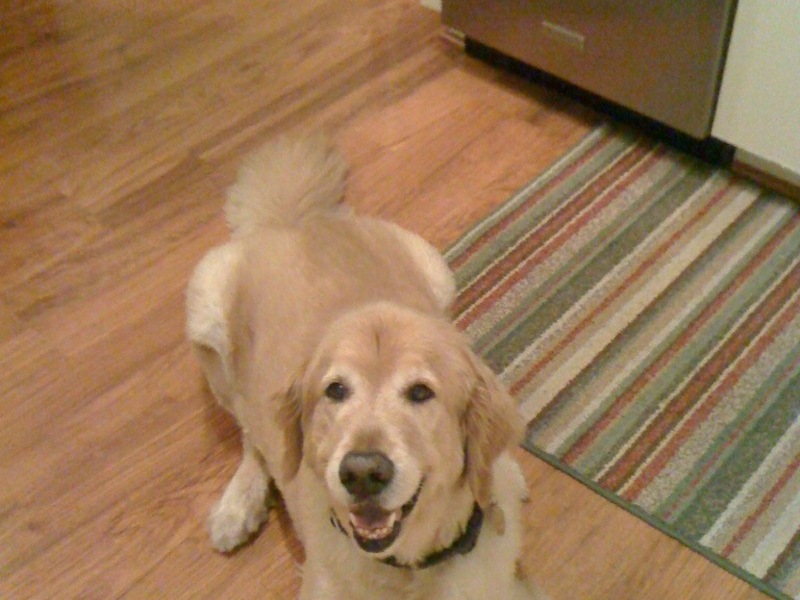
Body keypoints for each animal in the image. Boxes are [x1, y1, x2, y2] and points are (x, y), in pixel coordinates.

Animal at [188, 137, 552, 600]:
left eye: (421, 392)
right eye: (335, 390)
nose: (362, 473)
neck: (408, 571)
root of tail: (298, 220)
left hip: (438, 275)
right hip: (207, 321)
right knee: (253, 434)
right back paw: (238, 504)